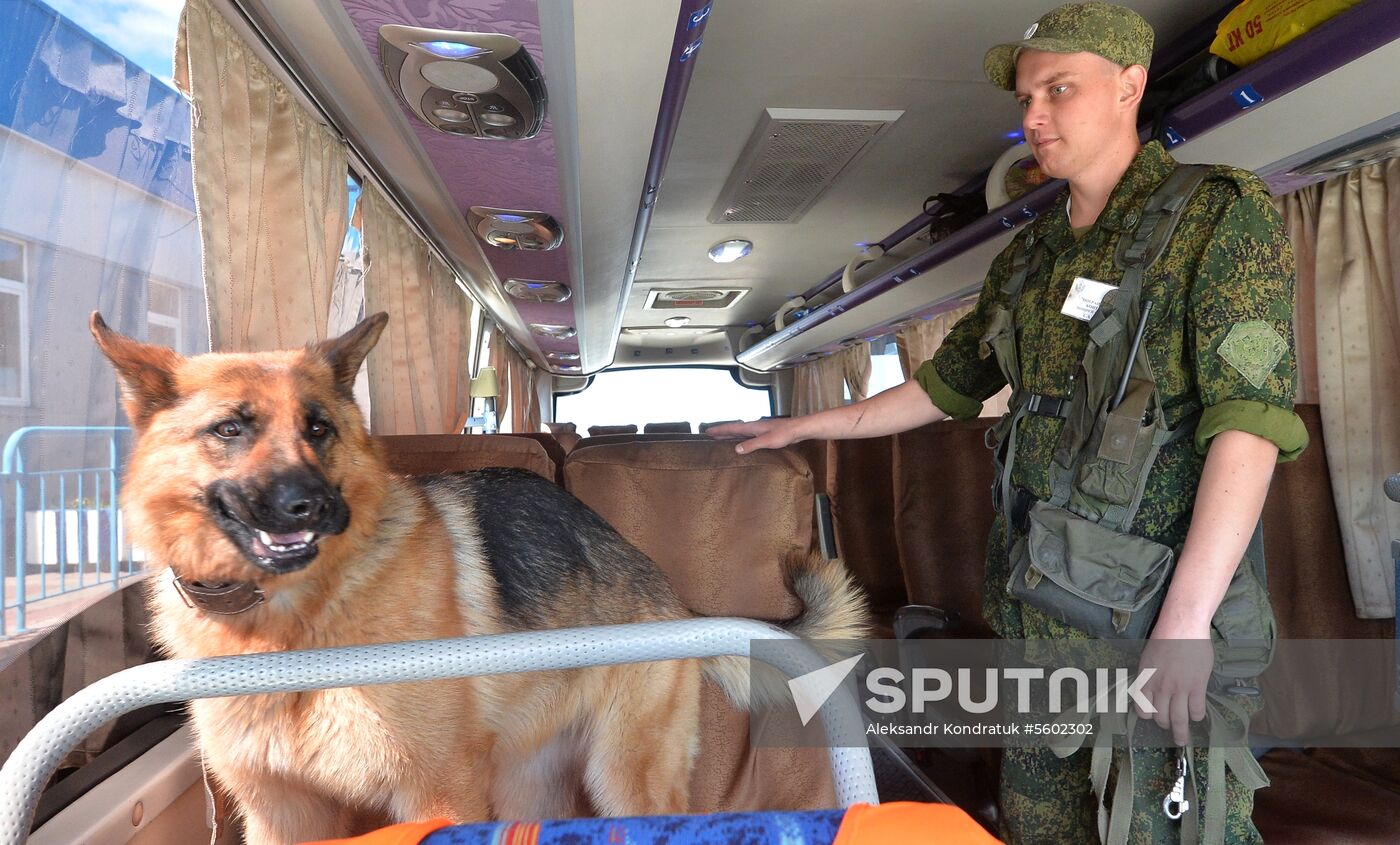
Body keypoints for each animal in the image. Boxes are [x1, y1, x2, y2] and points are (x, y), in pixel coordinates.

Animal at [90, 313, 862, 839]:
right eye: (230, 429)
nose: (314, 505)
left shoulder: (438, 795)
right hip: (527, 784)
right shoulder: (284, 811)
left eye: (319, 429)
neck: (290, 620)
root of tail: (668, 592)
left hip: (625, 777)